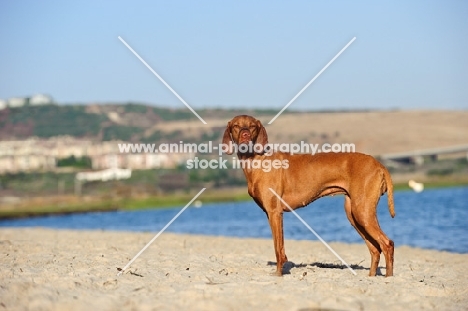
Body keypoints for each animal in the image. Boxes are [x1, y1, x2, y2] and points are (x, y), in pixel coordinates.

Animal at [223, 115, 394, 278]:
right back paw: (371, 277)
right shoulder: (270, 214)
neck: (257, 160)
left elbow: (278, 248)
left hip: (362, 212)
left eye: (252, 126)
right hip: (354, 214)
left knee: (387, 244)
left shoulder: (274, 212)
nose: (245, 134)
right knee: (375, 249)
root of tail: (379, 164)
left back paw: (388, 277)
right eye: (236, 125)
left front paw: (278, 273)